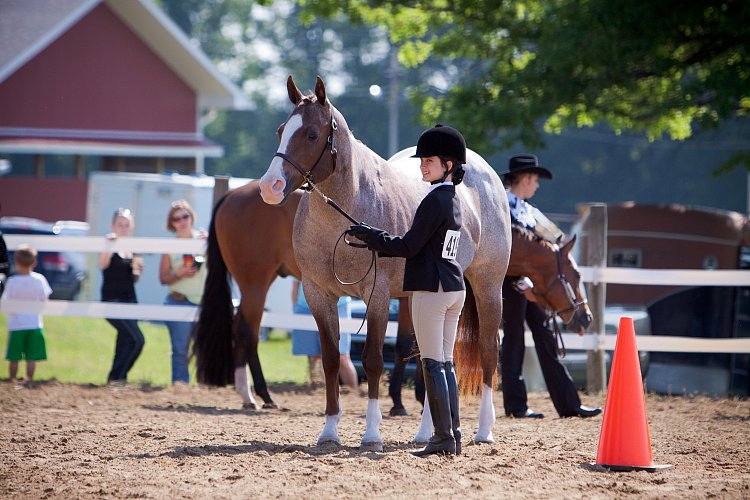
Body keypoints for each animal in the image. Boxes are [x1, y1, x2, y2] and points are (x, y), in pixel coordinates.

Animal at [258, 75, 512, 454]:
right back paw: (427, 434)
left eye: (312, 135)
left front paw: (372, 435)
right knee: (431, 358)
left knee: (487, 352)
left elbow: (374, 361)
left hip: (487, 286)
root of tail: (484, 173)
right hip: (417, 297)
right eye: (279, 131)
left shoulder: (376, 296)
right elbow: (331, 360)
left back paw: (483, 430)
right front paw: (329, 432)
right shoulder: (318, 295)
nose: (269, 187)